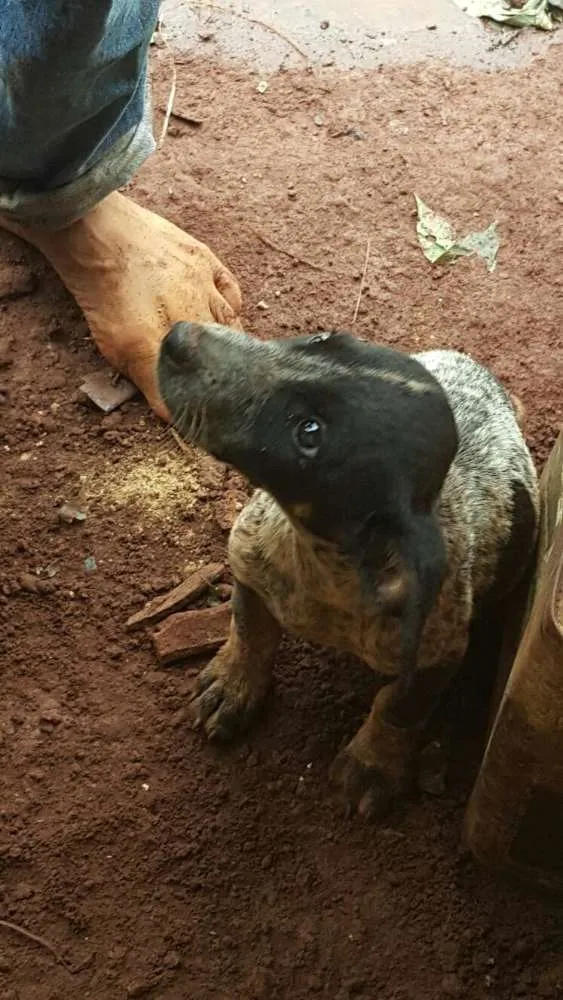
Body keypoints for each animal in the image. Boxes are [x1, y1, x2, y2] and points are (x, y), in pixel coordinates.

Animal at [158, 324, 536, 816]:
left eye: (309, 432)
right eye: (321, 339)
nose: (179, 337)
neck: (322, 562)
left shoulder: (438, 652)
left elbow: (397, 707)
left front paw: (371, 765)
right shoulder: (247, 560)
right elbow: (249, 632)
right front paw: (233, 685)